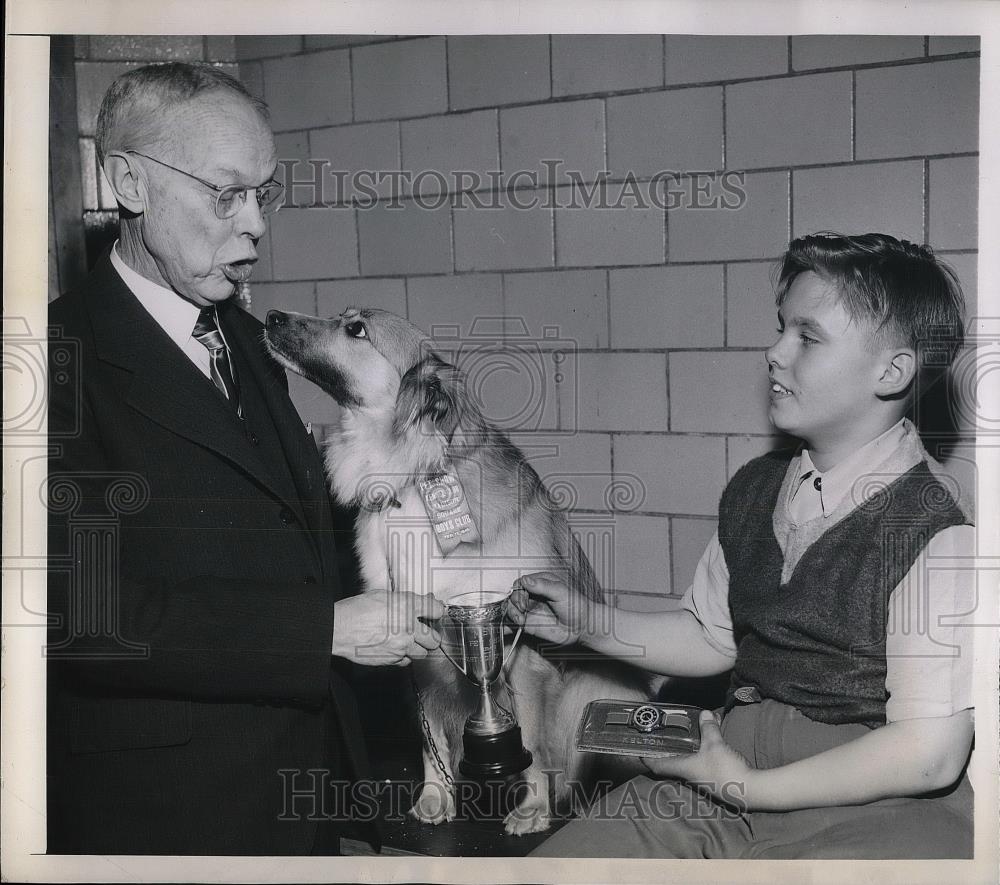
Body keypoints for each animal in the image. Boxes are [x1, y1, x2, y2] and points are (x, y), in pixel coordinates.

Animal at [264, 308, 648, 832]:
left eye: (356, 329)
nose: (270, 316)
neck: (411, 477)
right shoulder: (422, 642)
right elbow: (431, 737)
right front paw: (436, 796)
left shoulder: (519, 647)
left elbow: (530, 738)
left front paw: (532, 808)